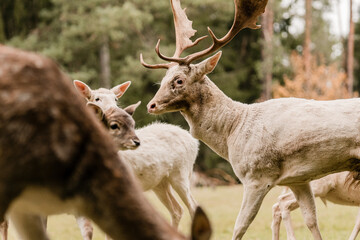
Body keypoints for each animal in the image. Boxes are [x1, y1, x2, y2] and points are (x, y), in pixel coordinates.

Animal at [0, 44, 211, 240]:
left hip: (181, 174)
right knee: (176, 209)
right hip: (160, 183)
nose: (115, 111)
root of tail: (193, 141)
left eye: (116, 98)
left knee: (192, 206)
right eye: (96, 98)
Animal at [139, 0, 360, 239]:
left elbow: (240, 226)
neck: (232, 130)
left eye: (179, 80)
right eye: (163, 79)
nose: (151, 105)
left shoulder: (256, 176)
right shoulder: (298, 179)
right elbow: (311, 220)